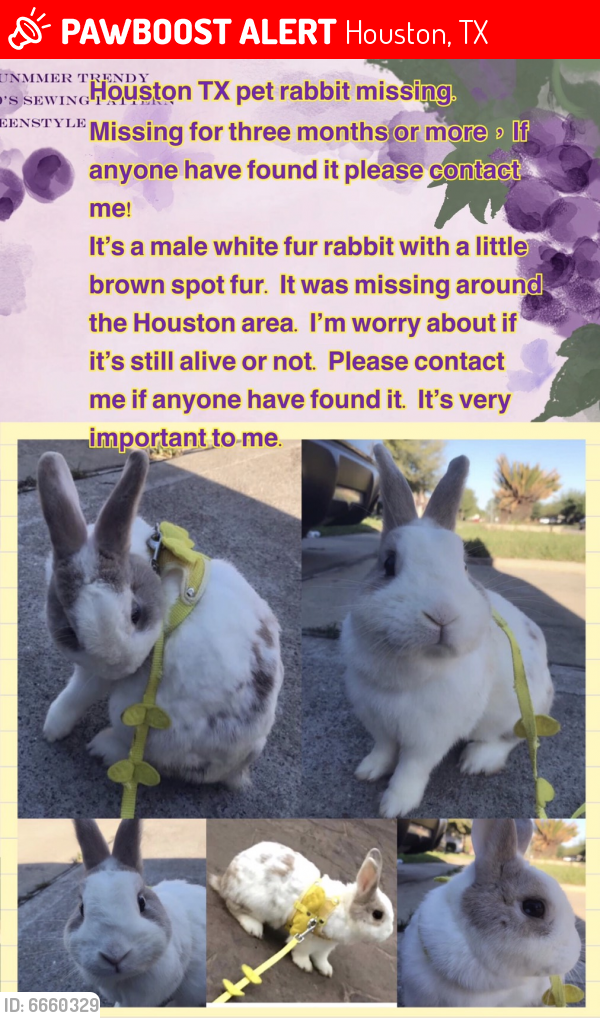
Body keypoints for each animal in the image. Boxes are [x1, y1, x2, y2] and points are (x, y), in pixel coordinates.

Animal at [37, 450, 284, 791]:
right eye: (71, 632)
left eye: (135, 614)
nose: (124, 667)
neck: (153, 570)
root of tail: (235, 768)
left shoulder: (97, 677)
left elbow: (78, 693)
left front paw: (52, 729)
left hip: (131, 711)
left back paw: (102, 748)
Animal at [210, 841, 394, 978]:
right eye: (378, 915)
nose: (390, 933)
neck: (343, 908)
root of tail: (224, 881)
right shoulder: (307, 936)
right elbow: (302, 952)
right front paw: (304, 965)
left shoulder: (326, 944)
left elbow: (321, 957)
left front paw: (326, 970)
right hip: (255, 903)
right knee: (234, 908)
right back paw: (254, 928)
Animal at [342, 444, 554, 818]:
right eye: (388, 564)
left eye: (465, 566)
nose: (442, 616)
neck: (412, 668)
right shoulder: (378, 720)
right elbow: (383, 750)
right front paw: (367, 772)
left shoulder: (430, 735)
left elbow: (411, 768)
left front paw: (394, 806)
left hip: (509, 714)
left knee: (513, 739)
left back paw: (477, 761)